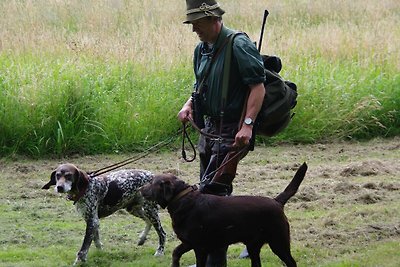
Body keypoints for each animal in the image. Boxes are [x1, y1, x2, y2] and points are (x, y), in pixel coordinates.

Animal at [139, 163, 308, 267]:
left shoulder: (200, 247)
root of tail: (276, 202)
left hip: (279, 242)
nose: (140, 188)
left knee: (291, 262)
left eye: (152, 182)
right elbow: (175, 253)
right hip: (253, 246)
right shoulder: (188, 242)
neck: (183, 199)